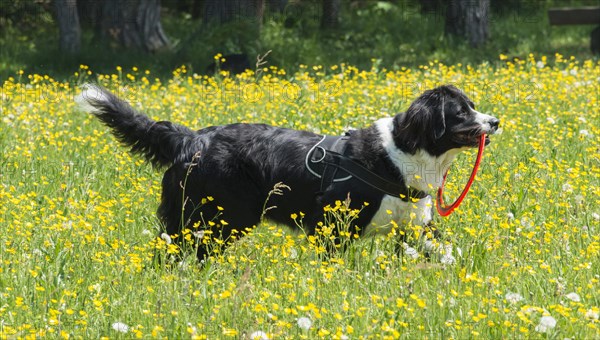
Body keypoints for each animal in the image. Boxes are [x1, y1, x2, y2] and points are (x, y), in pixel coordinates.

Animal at [78, 84, 502, 262]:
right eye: (461, 111)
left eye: (473, 105)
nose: (495, 121)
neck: (401, 153)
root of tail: (192, 137)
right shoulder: (333, 225)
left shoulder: (416, 225)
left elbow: (447, 251)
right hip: (213, 216)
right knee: (173, 250)